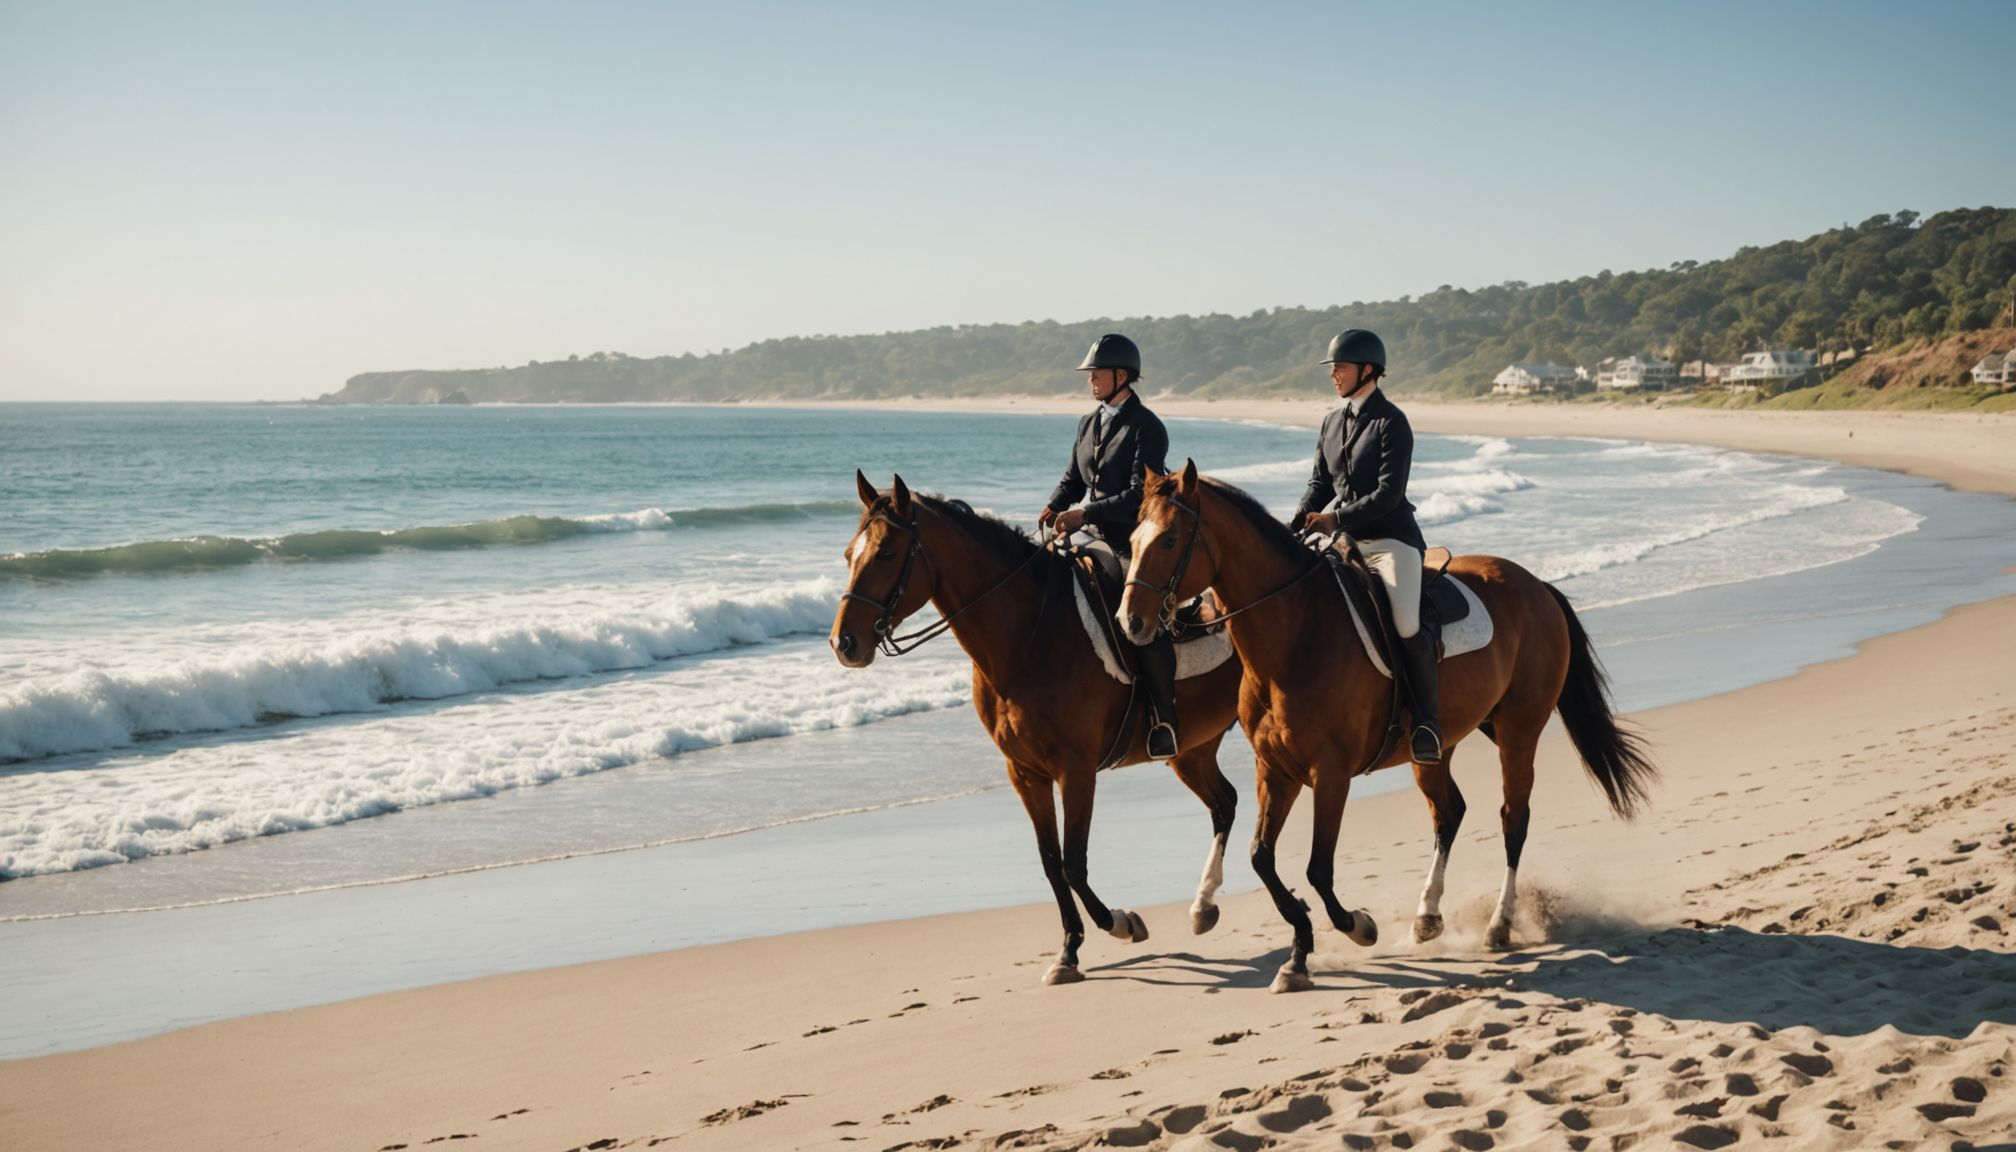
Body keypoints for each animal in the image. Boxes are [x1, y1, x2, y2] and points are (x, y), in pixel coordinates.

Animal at [830, 472, 1249, 985]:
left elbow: (1073, 864)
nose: (843, 643)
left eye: (887, 554)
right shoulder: (1025, 774)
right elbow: (1051, 863)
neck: (1029, 637)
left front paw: (1122, 923)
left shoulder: (1076, 773)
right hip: (1191, 750)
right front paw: (1068, 951)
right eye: (849, 554)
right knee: (1224, 803)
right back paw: (1204, 907)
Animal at [1116, 461, 1656, 993]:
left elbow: (1318, 869)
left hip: (1518, 732)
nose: (1130, 623)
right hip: (1440, 744)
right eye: (1132, 538)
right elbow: (1261, 859)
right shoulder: (1275, 769)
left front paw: (1358, 927)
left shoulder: (1330, 773)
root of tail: (1536, 585)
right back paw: (1428, 915)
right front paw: (1297, 957)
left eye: (1168, 540)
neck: (1294, 635)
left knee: (1512, 820)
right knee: (1449, 812)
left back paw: (1499, 925)